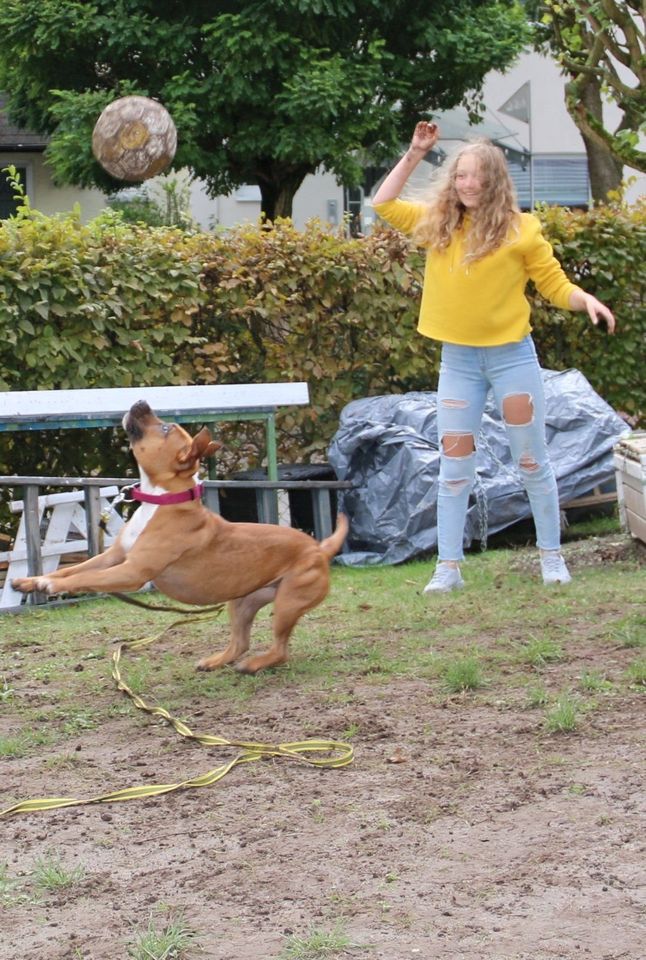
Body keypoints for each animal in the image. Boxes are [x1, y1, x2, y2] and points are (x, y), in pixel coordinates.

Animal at [12, 402, 350, 672]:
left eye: (163, 427)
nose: (142, 401)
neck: (162, 499)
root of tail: (319, 549)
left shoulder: (131, 571)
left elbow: (83, 578)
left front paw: (52, 586)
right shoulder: (114, 556)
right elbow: (73, 569)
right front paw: (33, 581)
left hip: (288, 603)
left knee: (280, 649)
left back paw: (254, 665)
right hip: (243, 602)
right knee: (240, 643)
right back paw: (216, 661)